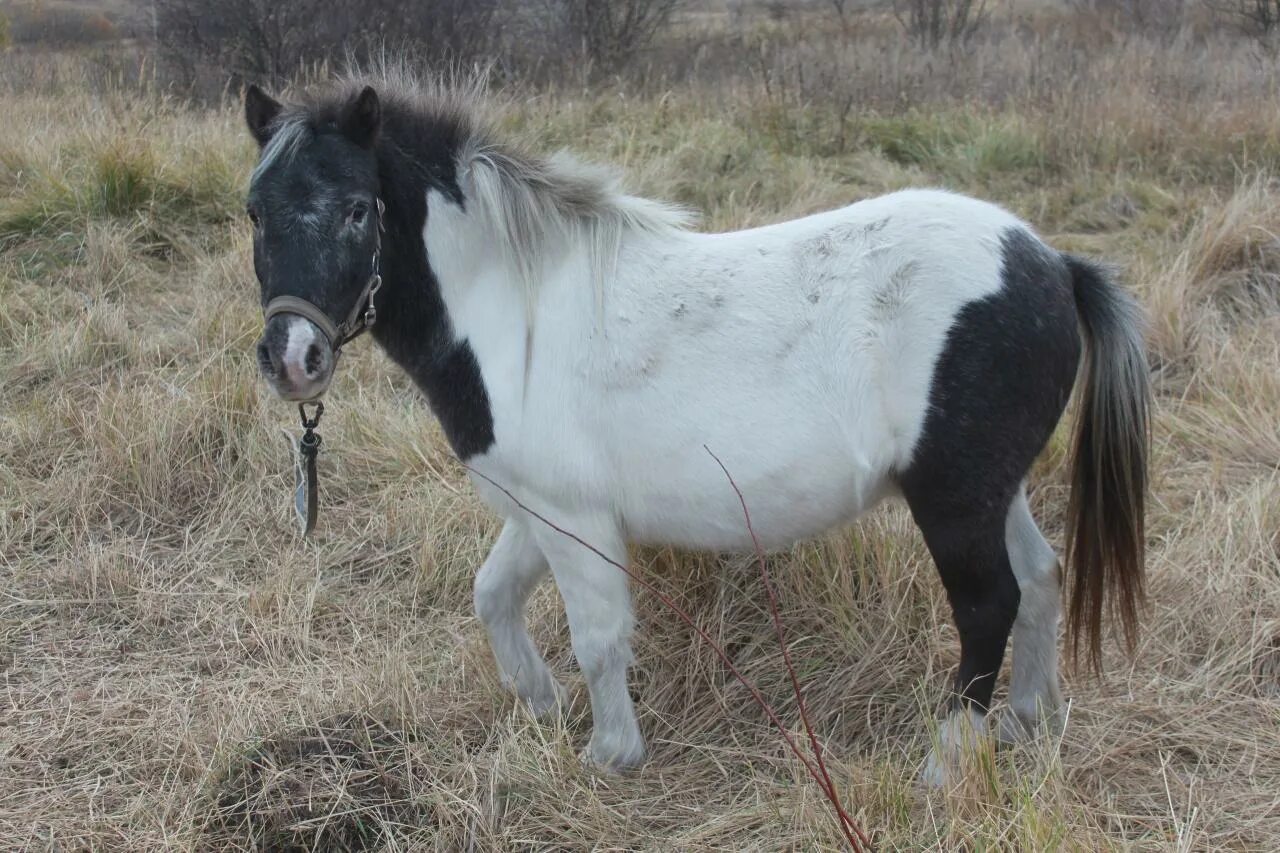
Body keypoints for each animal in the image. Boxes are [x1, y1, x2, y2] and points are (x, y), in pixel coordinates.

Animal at [241, 76, 1152, 778]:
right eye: (253, 212)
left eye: (357, 211)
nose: (293, 358)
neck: (515, 314)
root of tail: (1052, 265)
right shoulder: (539, 508)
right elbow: (492, 595)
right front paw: (540, 703)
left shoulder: (573, 520)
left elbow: (599, 637)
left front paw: (610, 755)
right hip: (993, 490)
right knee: (1041, 577)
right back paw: (1025, 723)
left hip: (954, 500)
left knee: (989, 604)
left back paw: (946, 760)